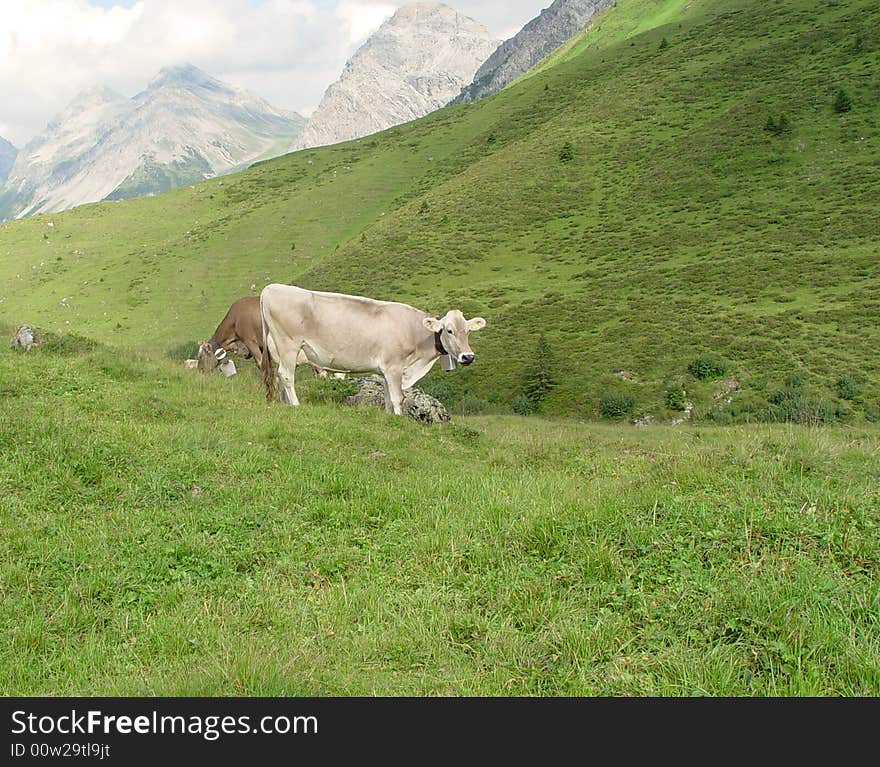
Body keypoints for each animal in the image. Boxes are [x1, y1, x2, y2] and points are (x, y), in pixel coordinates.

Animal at [258, 282, 488, 414]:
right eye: (449, 330)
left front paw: (388, 418)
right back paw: (295, 405)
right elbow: (398, 398)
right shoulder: (394, 367)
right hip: (289, 345)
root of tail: (271, 288)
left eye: (468, 331)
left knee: (279, 376)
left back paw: (284, 404)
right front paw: (400, 420)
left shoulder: (385, 371)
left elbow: (387, 398)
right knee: (286, 375)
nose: (468, 356)